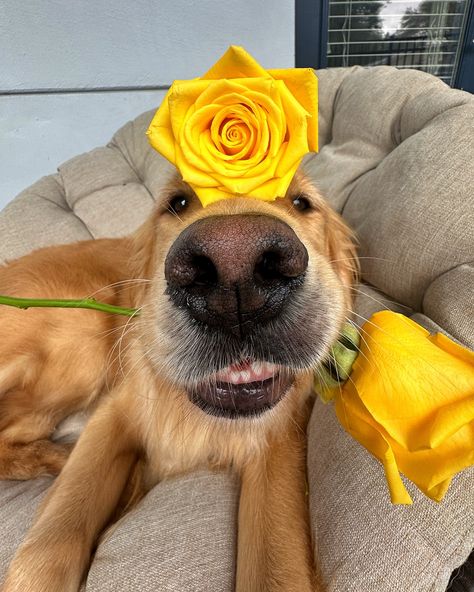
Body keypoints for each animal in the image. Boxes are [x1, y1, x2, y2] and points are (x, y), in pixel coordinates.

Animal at [0, 171, 356, 592]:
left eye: (301, 203)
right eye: (178, 203)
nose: (235, 266)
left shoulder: (279, 437)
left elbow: (277, 565)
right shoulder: (115, 411)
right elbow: (55, 534)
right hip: (82, 338)